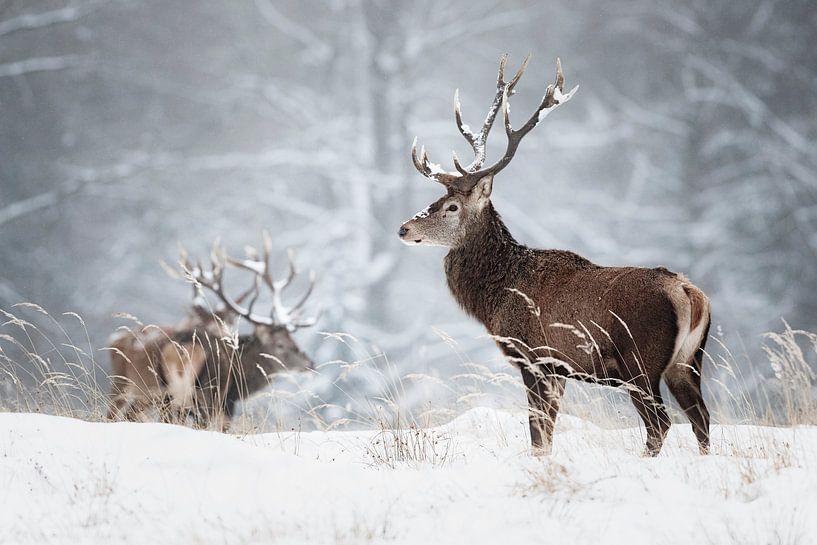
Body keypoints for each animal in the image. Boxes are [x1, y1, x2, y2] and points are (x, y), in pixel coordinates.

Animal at [398, 55, 712, 454]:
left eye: (451, 207)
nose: (404, 228)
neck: (498, 295)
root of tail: (689, 294)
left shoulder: (535, 357)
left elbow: (538, 433)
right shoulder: (559, 369)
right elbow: (546, 433)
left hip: (640, 361)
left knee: (661, 422)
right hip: (686, 362)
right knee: (701, 419)